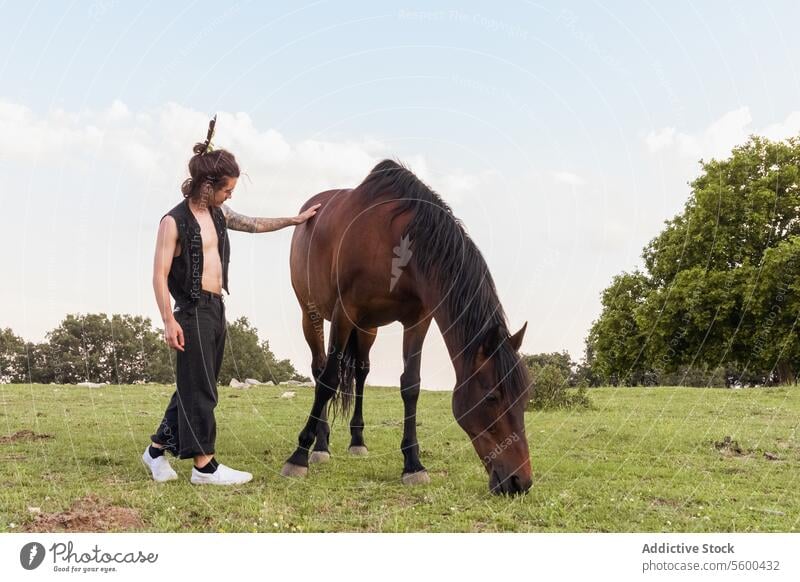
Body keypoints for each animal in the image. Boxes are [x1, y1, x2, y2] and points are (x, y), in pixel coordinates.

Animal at [282, 161, 532, 498]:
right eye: (492, 397)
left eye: (525, 397)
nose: (521, 482)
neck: (394, 242)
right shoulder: (344, 313)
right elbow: (328, 381)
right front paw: (298, 455)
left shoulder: (418, 319)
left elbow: (411, 385)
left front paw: (413, 464)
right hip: (312, 316)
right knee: (321, 369)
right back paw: (320, 445)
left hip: (367, 329)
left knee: (361, 372)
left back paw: (357, 441)